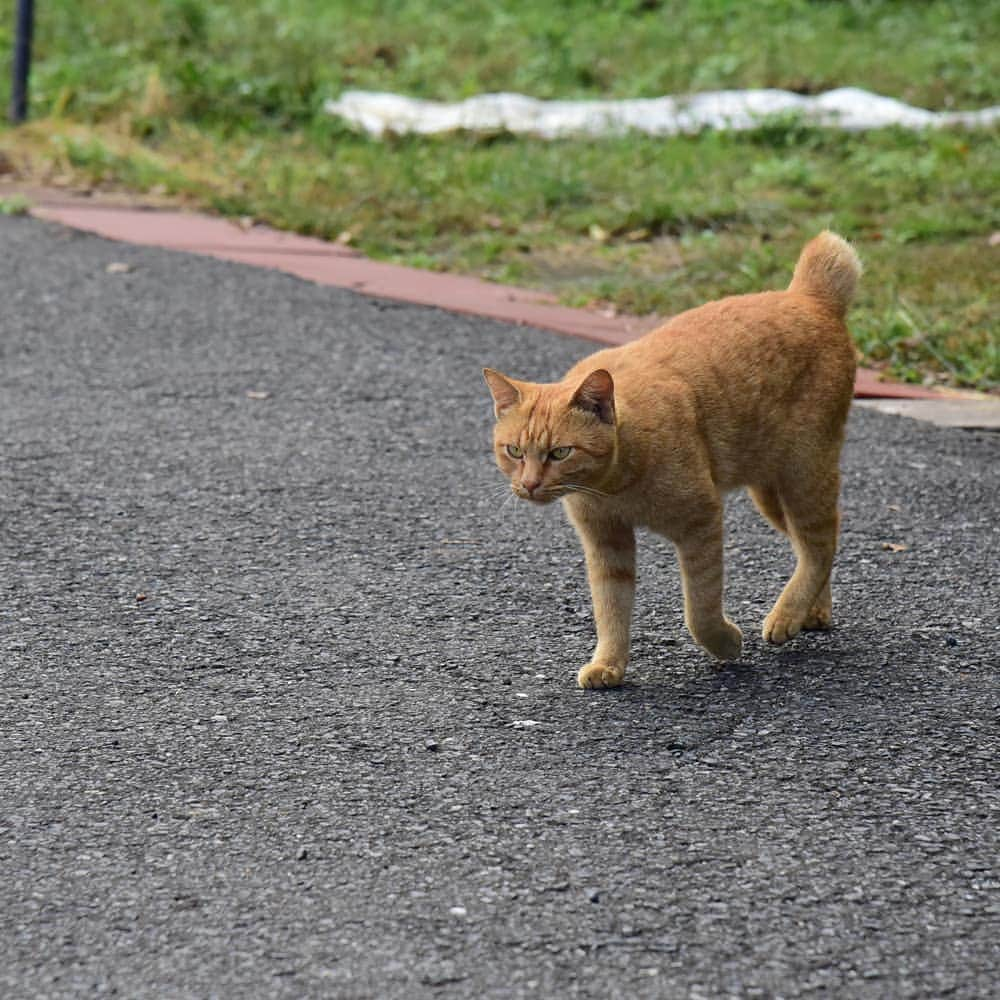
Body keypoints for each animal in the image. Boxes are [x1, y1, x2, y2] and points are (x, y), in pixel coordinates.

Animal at [484, 232, 860, 688]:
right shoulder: (606, 543)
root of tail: (808, 296)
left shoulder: (701, 523)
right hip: (771, 491)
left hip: (803, 474)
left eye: (560, 452)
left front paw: (725, 643)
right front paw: (608, 664)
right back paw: (813, 611)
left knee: (821, 541)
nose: (530, 484)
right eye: (514, 451)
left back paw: (786, 615)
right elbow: (611, 609)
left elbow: (699, 608)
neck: (613, 487)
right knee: (814, 546)